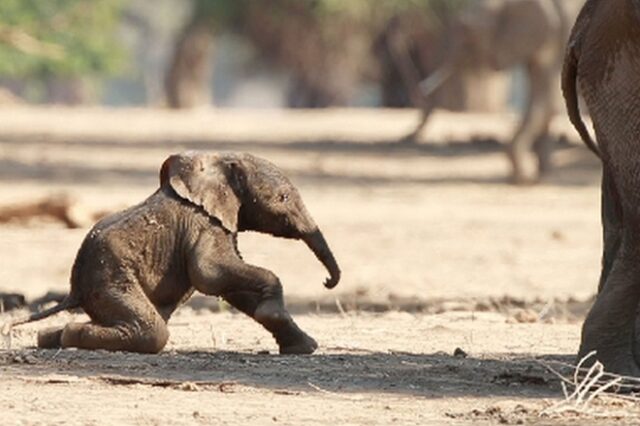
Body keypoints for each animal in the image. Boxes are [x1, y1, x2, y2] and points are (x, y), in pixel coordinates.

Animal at [11, 153, 340, 356]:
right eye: (283, 198)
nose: (327, 281)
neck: (218, 163)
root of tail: (73, 288)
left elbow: (232, 288)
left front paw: (305, 347)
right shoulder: (203, 223)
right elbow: (210, 274)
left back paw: (52, 337)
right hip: (110, 278)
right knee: (153, 331)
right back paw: (70, 336)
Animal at [390, 0, 584, 183]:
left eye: (467, 30)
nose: (419, 91)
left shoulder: (560, 35)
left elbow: (547, 102)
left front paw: (523, 180)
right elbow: (543, 100)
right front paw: (540, 175)